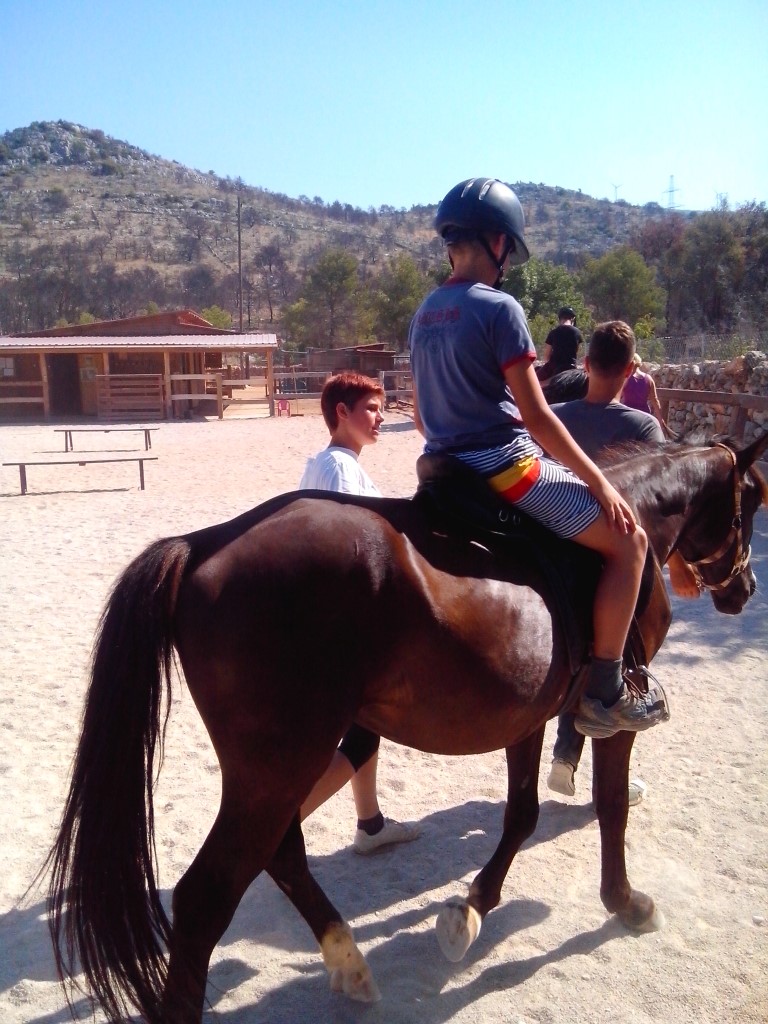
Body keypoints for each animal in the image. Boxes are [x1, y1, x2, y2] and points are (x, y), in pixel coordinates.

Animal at [46, 433, 768, 1023]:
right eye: (747, 508)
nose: (744, 588)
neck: (636, 515)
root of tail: (208, 541)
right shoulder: (612, 722)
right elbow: (611, 806)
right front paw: (625, 903)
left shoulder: (529, 716)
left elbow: (522, 814)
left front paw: (472, 907)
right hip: (282, 765)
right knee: (206, 897)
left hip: (274, 771)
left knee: (281, 853)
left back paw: (347, 959)